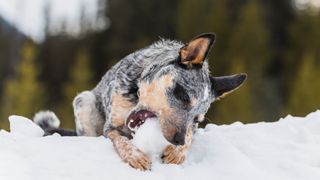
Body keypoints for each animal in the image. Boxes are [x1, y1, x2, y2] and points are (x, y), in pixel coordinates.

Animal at [33, 32, 246, 170]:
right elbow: (121, 141)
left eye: (198, 120)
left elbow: (190, 135)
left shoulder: (191, 129)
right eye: (183, 95)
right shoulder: (111, 127)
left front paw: (178, 151)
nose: (177, 140)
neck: (136, 91)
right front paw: (135, 155)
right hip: (83, 100)